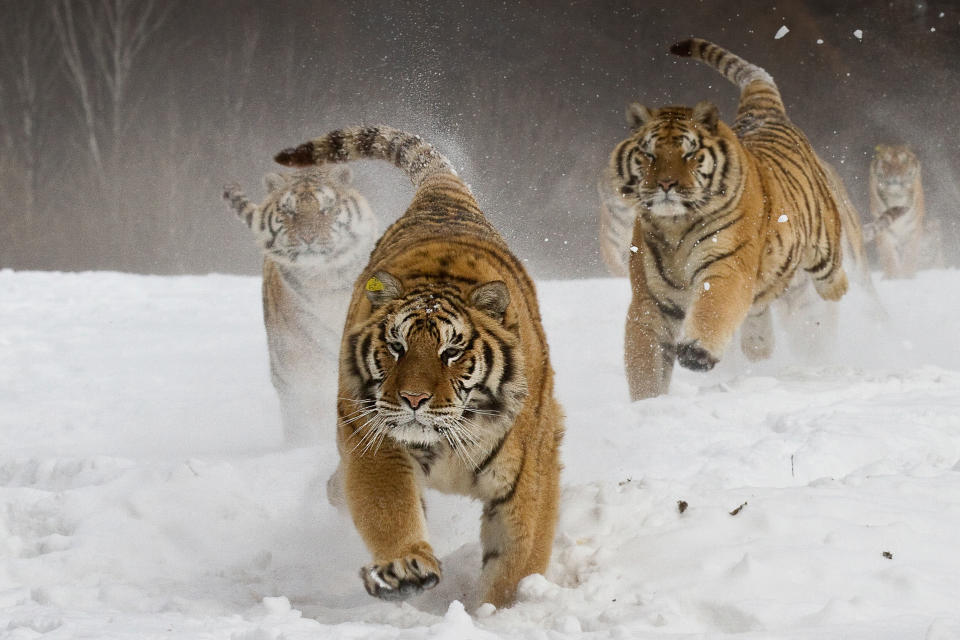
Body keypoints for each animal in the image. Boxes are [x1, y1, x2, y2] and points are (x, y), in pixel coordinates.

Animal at [274, 126, 568, 608]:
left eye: (451, 352)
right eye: (396, 347)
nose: (413, 399)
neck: (450, 440)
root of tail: (441, 197)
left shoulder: (530, 474)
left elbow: (515, 561)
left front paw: (499, 610)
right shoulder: (375, 444)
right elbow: (389, 510)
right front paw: (405, 568)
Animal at [608, 37, 872, 398]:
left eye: (689, 153)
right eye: (649, 154)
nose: (665, 184)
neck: (675, 226)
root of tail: (764, 112)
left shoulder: (727, 265)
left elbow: (714, 307)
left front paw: (697, 352)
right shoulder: (650, 299)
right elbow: (644, 363)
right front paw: (648, 404)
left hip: (822, 248)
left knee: (831, 283)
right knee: (761, 313)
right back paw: (759, 346)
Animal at [872, 144, 936, 276]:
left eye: (904, 161)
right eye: (886, 161)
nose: (895, 174)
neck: (896, 196)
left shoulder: (913, 230)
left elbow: (909, 257)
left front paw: (907, 276)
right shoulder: (885, 230)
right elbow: (890, 258)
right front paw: (893, 277)